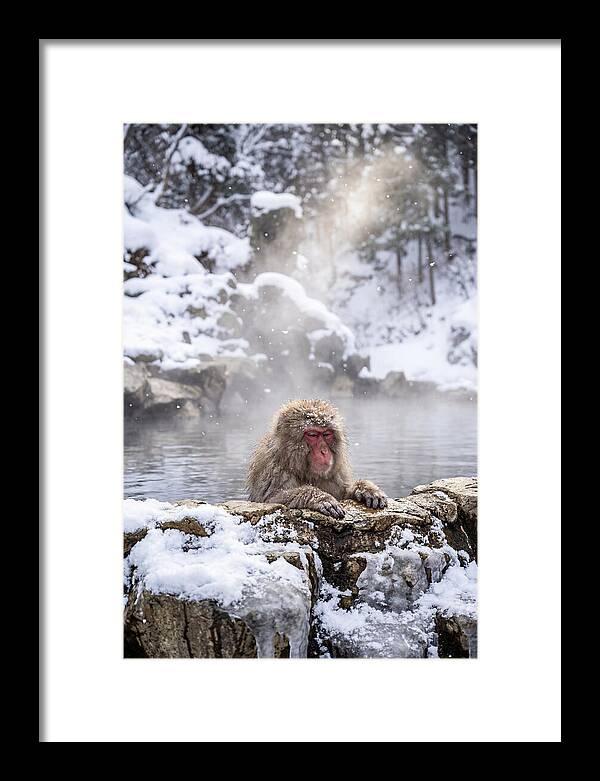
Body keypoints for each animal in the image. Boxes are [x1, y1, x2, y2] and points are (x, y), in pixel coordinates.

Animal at [246, 399, 388, 519]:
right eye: (312, 435)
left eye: (327, 434)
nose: (324, 451)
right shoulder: (273, 469)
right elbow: (271, 499)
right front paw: (320, 498)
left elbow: (343, 493)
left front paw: (365, 489)